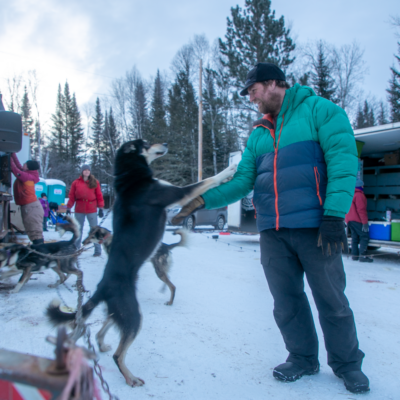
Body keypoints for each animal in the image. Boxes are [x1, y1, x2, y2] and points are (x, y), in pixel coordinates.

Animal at [46, 140, 238, 388]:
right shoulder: (177, 193)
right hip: (133, 315)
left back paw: (97, 345)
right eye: (145, 144)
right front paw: (229, 170)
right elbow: (207, 180)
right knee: (118, 354)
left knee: (96, 332)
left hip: (118, 312)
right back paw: (130, 377)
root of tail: (103, 286)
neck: (131, 179)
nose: (165, 143)